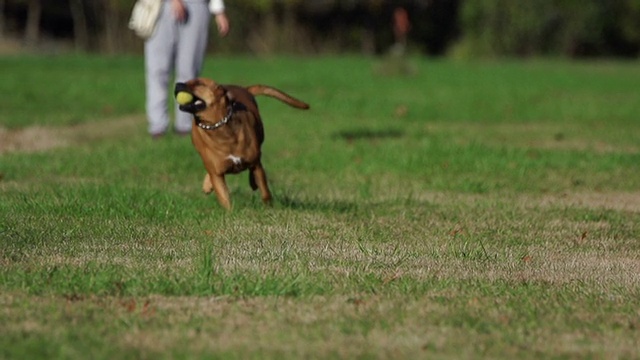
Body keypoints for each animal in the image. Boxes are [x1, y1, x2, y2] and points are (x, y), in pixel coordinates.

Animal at [172, 77, 308, 210]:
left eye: (199, 83)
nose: (177, 84)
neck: (218, 127)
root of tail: (243, 88)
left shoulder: (255, 163)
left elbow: (265, 190)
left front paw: (268, 207)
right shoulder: (216, 173)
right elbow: (224, 196)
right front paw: (230, 212)